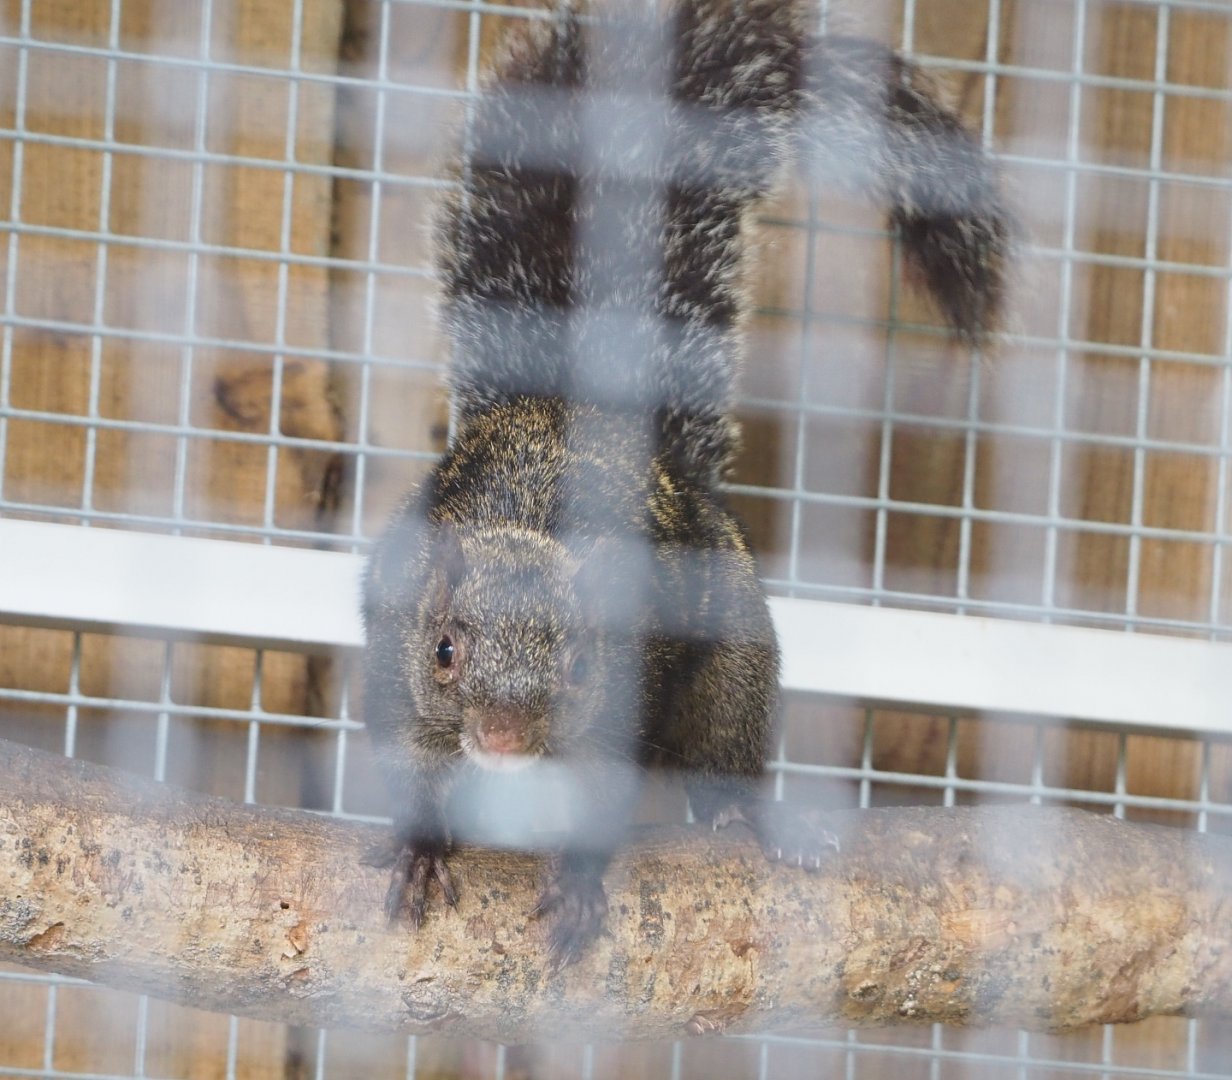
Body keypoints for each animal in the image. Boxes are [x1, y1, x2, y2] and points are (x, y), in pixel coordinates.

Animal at [363, 0, 1011, 965]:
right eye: (444, 650)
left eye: (581, 659)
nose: (504, 735)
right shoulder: (398, 671)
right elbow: (410, 767)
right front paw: (419, 850)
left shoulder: (622, 702)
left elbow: (601, 801)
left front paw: (580, 884)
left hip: (732, 666)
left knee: (721, 755)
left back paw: (749, 816)